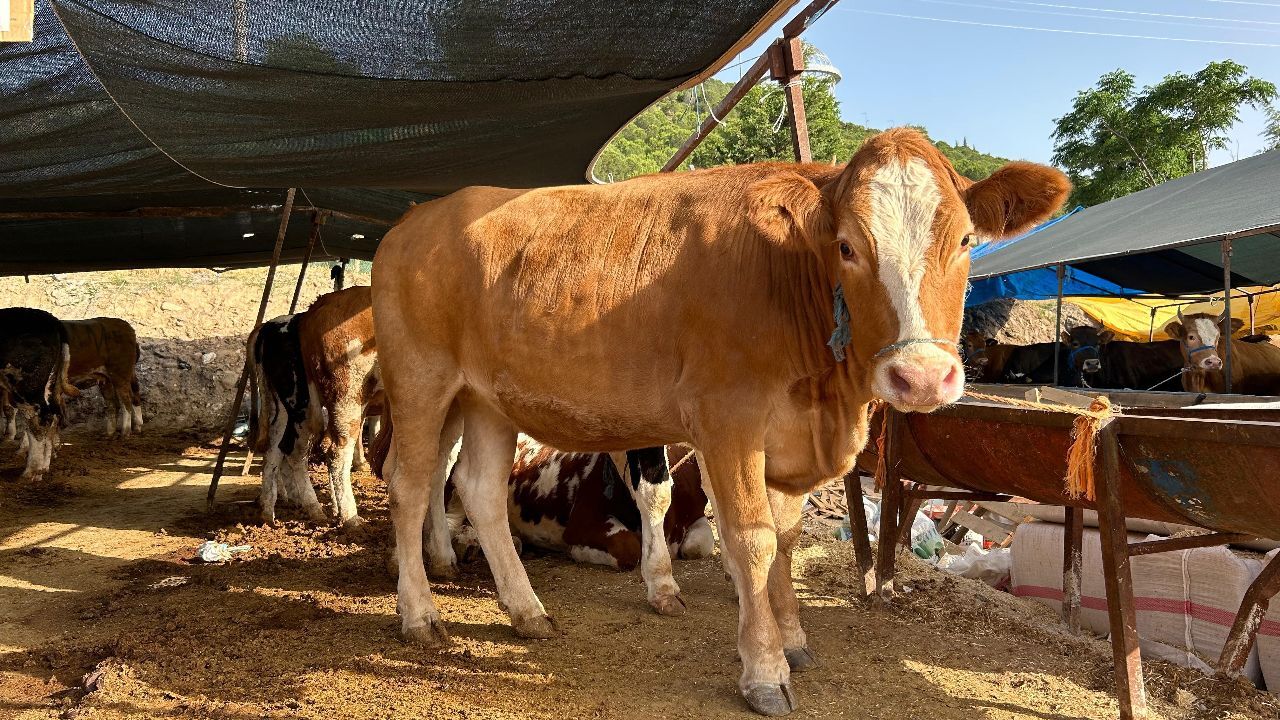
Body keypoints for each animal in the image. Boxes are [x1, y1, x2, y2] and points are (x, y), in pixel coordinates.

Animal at [248, 283, 378, 525]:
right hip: (340, 398)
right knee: (328, 453)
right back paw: (342, 515)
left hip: (286, 408)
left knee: (276, 450)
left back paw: (270, 511)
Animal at [442, 435, 711, 607]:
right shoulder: (582, 522)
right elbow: (628, 548)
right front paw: (578, 551)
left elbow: (699, 546)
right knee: (454, 517)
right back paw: (463, 544)